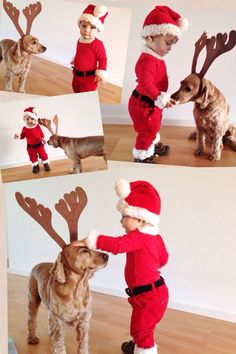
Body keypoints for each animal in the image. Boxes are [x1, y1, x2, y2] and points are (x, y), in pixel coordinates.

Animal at [171, 31, 236, 161]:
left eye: (188, 89)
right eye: (180, 83)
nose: (172, 96)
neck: (204, 107)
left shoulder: (218, 127)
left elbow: (217, 142)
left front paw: (214, 155)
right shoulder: (198, 124)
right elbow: (201, 138)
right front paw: (199, 150)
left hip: (231, 127)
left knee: (227, 138)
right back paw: (193, 135)